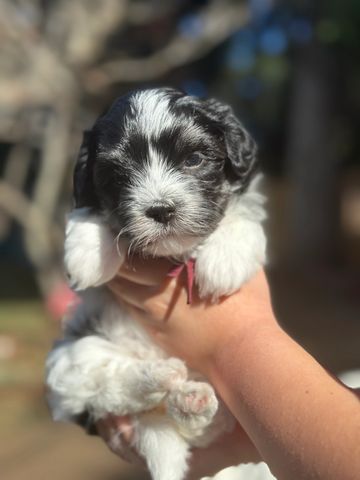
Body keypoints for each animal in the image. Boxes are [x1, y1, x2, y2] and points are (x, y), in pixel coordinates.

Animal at [45, 87, 266, 480]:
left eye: (194, 159)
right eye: (118, 174)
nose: (160, 209)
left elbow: (243, 207)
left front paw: (225, 256)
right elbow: (87, 208)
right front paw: (88, 251)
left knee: (206, 427)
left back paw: (190, 402)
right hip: (73, 356)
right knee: (110, 384)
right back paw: (160, 379)